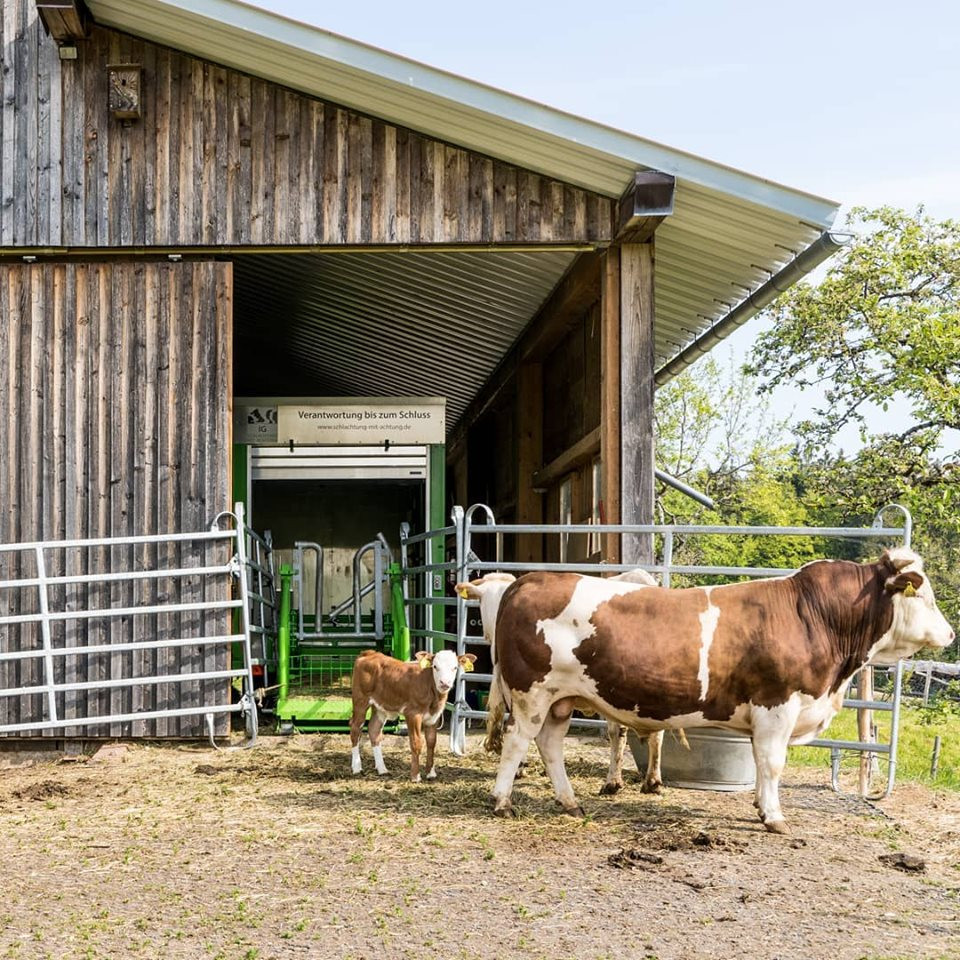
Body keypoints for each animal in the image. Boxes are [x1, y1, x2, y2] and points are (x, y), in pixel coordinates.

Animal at [348, 648, 476, 784]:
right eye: (435, 666)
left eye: (455, 667)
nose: (444, 683)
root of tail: (369, 653)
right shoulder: (413, 714)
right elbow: (416, 743)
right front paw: (415, 776)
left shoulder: (433, 717)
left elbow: (431, 743)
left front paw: (431, 773)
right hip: (360, 700)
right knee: (355, 729)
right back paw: (357, 767)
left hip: (379, 707)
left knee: (374, 730)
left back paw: (382, 769)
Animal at [458, 568, 668, 796]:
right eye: (483, 600)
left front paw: (520, 767)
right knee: (645, 732)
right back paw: (648, 781)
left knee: (619, 733)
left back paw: (617, 781)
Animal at [488, 548, 952, 832]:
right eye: (924, 595)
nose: (949, 634)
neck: (816, 616)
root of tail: (529, 580)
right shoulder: (777, 707)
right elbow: (773, 764)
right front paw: (775, 817)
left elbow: (761, 765)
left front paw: (761, 807)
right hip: (532, 694)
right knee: (516, 742)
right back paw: (503, 802)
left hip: (561, 700)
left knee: (549, 745)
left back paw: (569, 802)